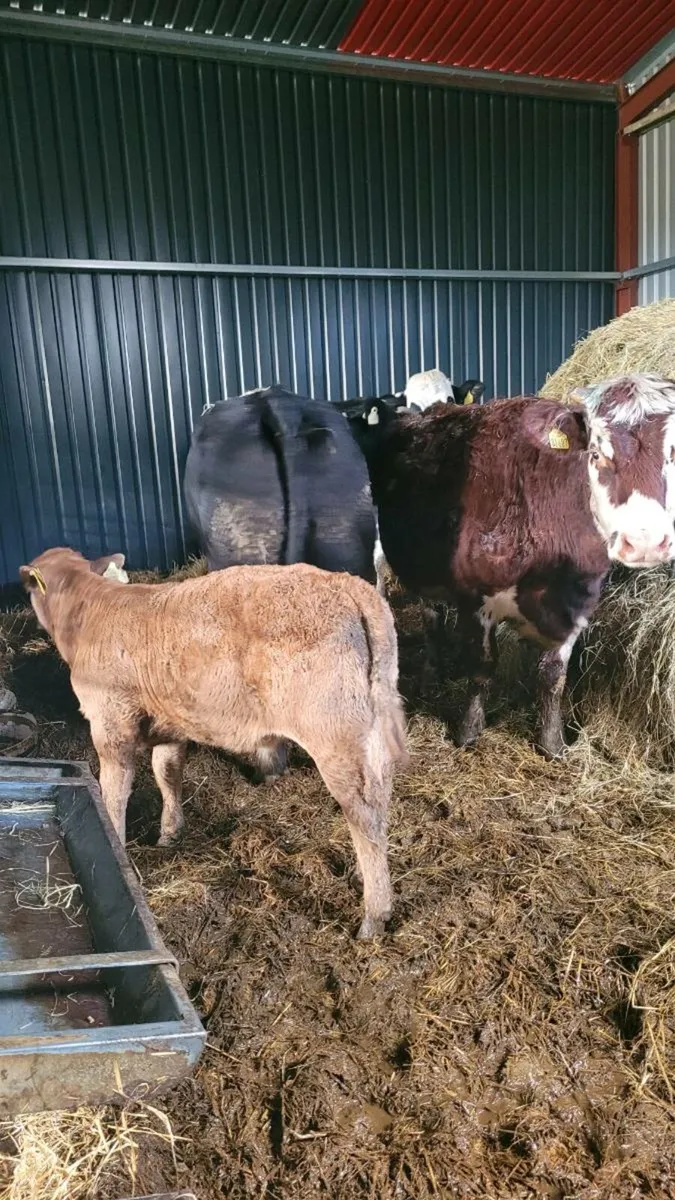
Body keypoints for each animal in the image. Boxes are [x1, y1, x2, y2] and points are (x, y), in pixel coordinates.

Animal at [20, 549, 408, 939]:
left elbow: (114, 791)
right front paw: (170, 833)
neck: (90, 611)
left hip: (334, 733)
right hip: (373, 725)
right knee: (381, 796)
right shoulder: (171, 722)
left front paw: (114, 840)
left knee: (364, 814)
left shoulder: (111, 722)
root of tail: (351, 588)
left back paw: (374, 915)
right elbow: (167, 772)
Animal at [344, 374, 675, 758]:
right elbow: (483, 666)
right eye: (596, 452)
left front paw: (552, 742)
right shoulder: (476, 598)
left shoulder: (578, 603)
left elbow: (553, 674)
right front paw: (469, 730)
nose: (645, 540)